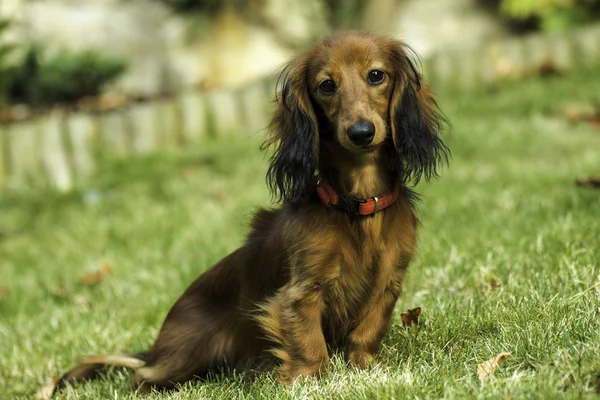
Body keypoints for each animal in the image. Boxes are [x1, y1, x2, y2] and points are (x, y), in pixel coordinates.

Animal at [54, 30, 448, 394]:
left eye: (376, 75)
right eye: (326, 86)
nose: (361, 132)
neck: (359, 209)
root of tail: (155, 351)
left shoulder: (388, 283)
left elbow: (366, 332)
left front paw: (365, 368)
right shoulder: (300, 292)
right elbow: (310, 345)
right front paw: (305, 380)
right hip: (187, 352)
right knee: (140, 376)